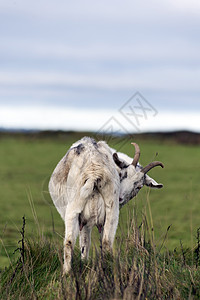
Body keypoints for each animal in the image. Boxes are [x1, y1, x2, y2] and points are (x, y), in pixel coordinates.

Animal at [48, 137, 164, 274]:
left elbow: (85, 243)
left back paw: (66, 273)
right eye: (122, 175)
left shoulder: (84, 221)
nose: (120, 198)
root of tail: (94, 172)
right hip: (112, 208)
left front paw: (84, 263)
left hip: (73, 208)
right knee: (107, 242)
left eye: (139, 186)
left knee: (69, 242)